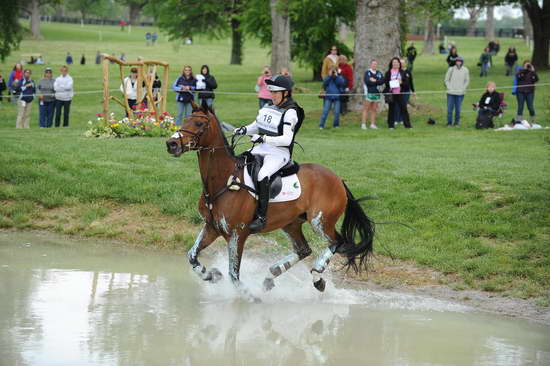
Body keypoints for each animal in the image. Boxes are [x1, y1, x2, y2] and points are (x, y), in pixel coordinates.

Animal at [166, 101, 378, 300]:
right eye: (185, 119)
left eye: (199, 123)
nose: (171, 144)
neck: (223, 180)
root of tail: (338, 179)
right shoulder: (212, 227)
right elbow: (192, 257)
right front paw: (211, 275)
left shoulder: (237, 234)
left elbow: (234, 275)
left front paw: (250, 297)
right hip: (291, 223)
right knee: (304, 249)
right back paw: (272, 274)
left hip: (320, 222)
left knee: (337, 242)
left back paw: (317, 277)